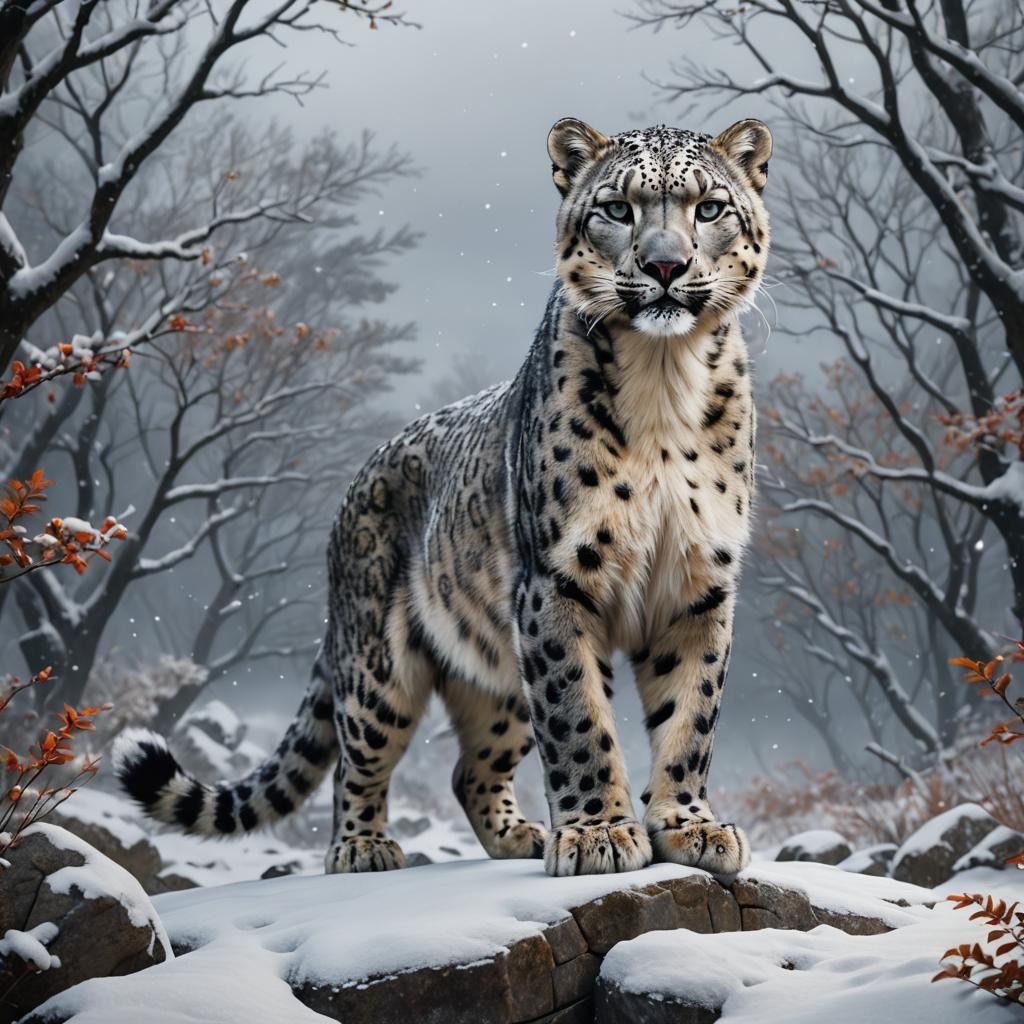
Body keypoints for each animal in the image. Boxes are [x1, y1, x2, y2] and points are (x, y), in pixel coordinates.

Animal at [114, 116, 772, 879]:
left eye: (710, 208)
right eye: (616, 208)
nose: (666, 265)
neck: (665, 378)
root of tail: (354, 487)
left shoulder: (700, 583)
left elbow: (690, 715)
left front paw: (690, 825)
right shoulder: (558, 581)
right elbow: (578, 717)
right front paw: (599, 834)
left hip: (498, 670)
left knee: (470, 765)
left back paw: (520, 835)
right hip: (379, 662)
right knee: (357, 758)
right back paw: (363, 847)